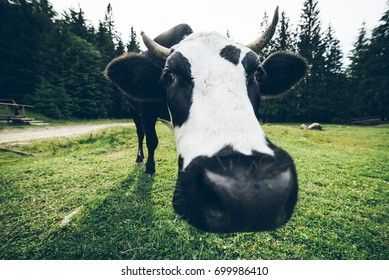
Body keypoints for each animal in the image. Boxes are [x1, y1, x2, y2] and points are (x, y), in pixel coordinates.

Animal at [104, 7, 310, 234]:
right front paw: (150, 169)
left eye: (257, 72)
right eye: (169, 75)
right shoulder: (146, 112)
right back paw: (140, 159)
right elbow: (152, 141)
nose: (248, 192)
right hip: (134, 112)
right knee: (140, 134)